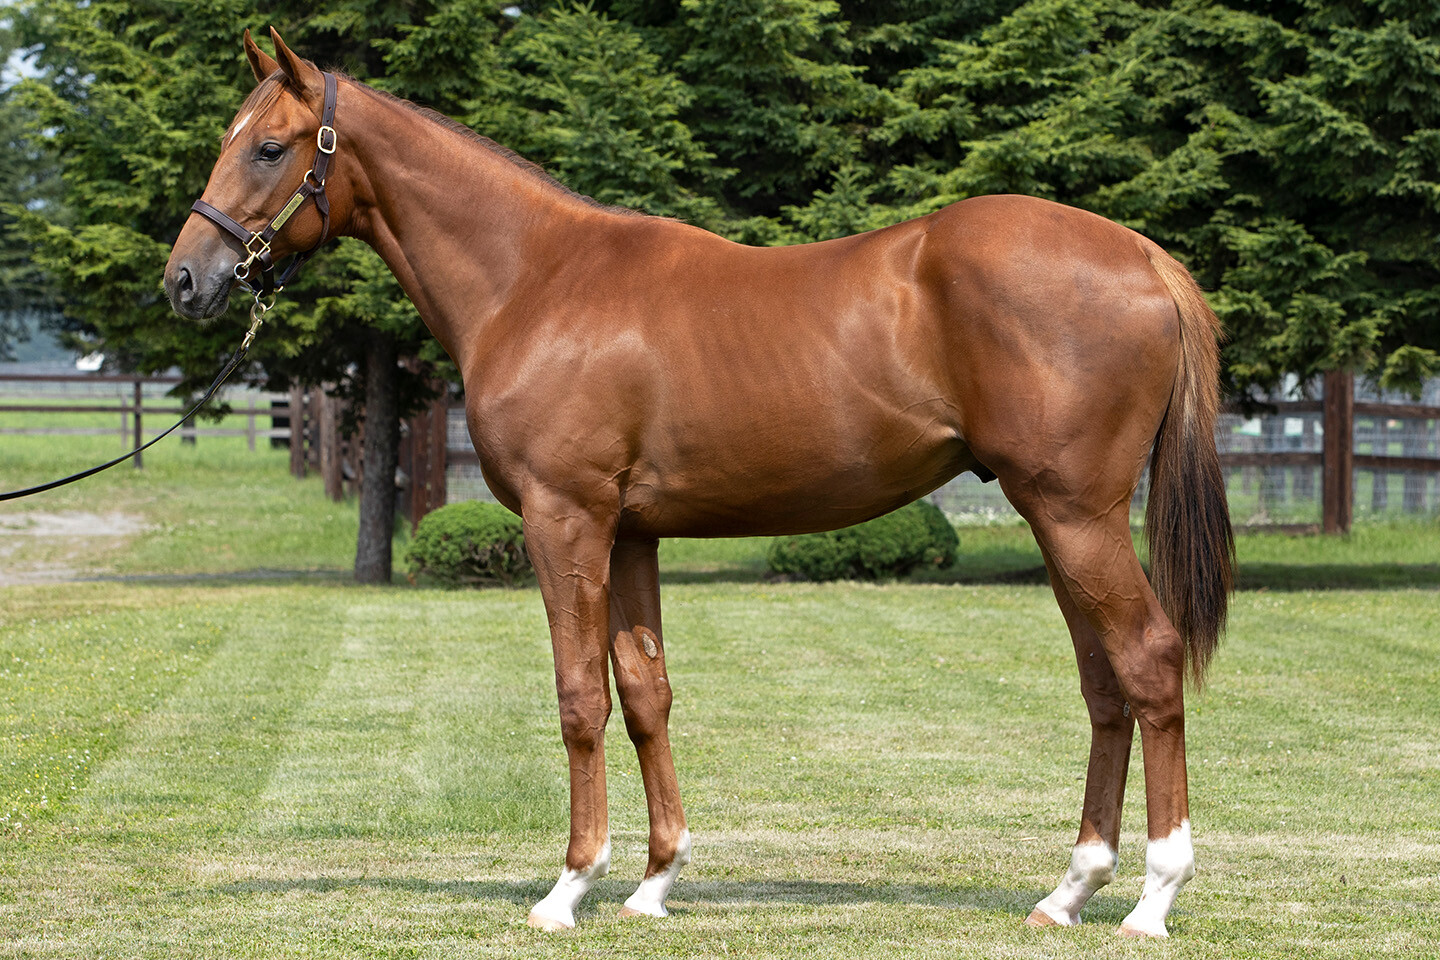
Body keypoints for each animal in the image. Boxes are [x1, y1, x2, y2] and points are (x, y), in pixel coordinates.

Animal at [163, 30, 1232, 938]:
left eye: (268, 148)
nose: (185, 279)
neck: (537, 280)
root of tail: (1143, 257)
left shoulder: (566, 521)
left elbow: (578, 699)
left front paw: (569, 888)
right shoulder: (630, 531)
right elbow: (645, 693)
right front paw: (653, 882)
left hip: (1075, 513)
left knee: (1147, 659)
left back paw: (1153, 897)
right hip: (1055, 519)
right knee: (1103, 684)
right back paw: (1069, 891)